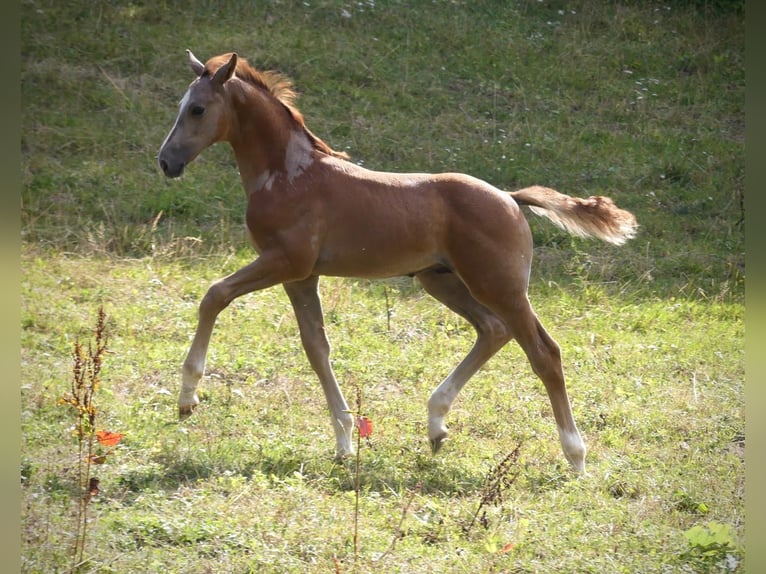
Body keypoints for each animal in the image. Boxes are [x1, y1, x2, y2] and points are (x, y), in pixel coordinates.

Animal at [158, 50, 637, 472]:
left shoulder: (285, 262)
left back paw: (575, 455)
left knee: (544, 352)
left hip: (499, 286)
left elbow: (214, 294)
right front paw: (345, 440)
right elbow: (316, 347)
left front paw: (187, 396)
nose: (166, 162)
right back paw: (436, 424)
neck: (289, 174)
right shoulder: (302, 276)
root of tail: (510, 197)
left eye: (197, 109)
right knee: (493, 330)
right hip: (443, 281)